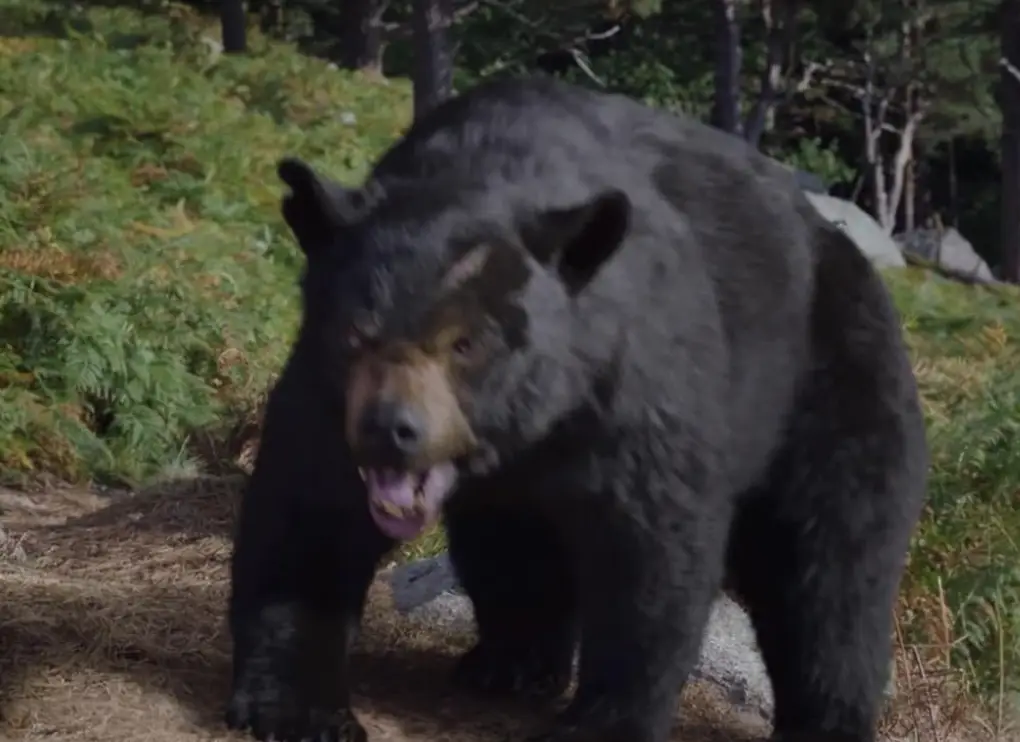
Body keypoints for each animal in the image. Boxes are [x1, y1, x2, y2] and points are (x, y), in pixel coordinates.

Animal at [225, 76, 929, 742]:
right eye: (354, 332)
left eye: (466, 342)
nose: (390, 430)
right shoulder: (326, 394)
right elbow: (310, 515)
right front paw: (301, 707)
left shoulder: (632, 385)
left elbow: (650, 549)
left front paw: (604, 721)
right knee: (514, 544)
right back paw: (511, 663)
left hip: (839, 383)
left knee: (830, 565)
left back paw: (825, 718)